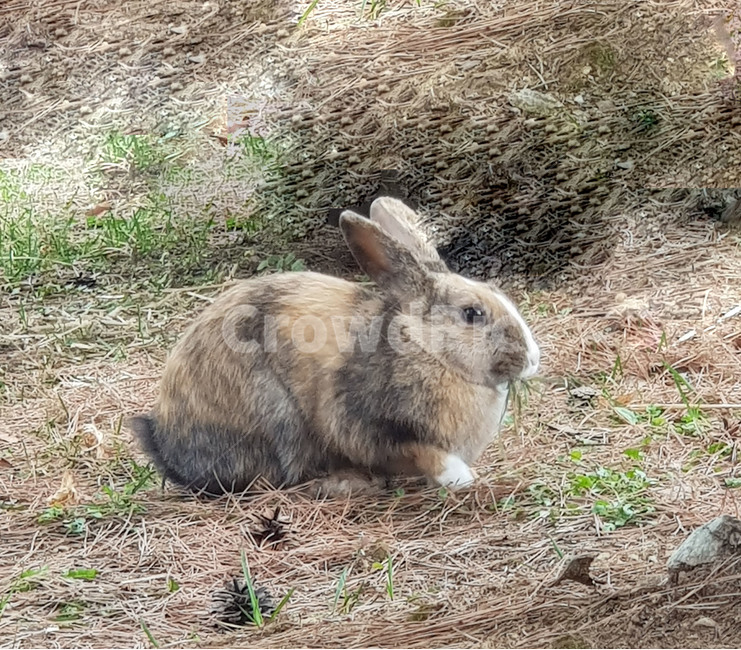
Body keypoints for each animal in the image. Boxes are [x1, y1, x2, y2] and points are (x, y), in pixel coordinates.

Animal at [128, 197, 540, 497]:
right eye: (472, 313)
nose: (533, 360)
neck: (425, 348)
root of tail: (168, 448)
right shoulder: (367, 425)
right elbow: (422, 452)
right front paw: (460, 477)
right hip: (276, 415)